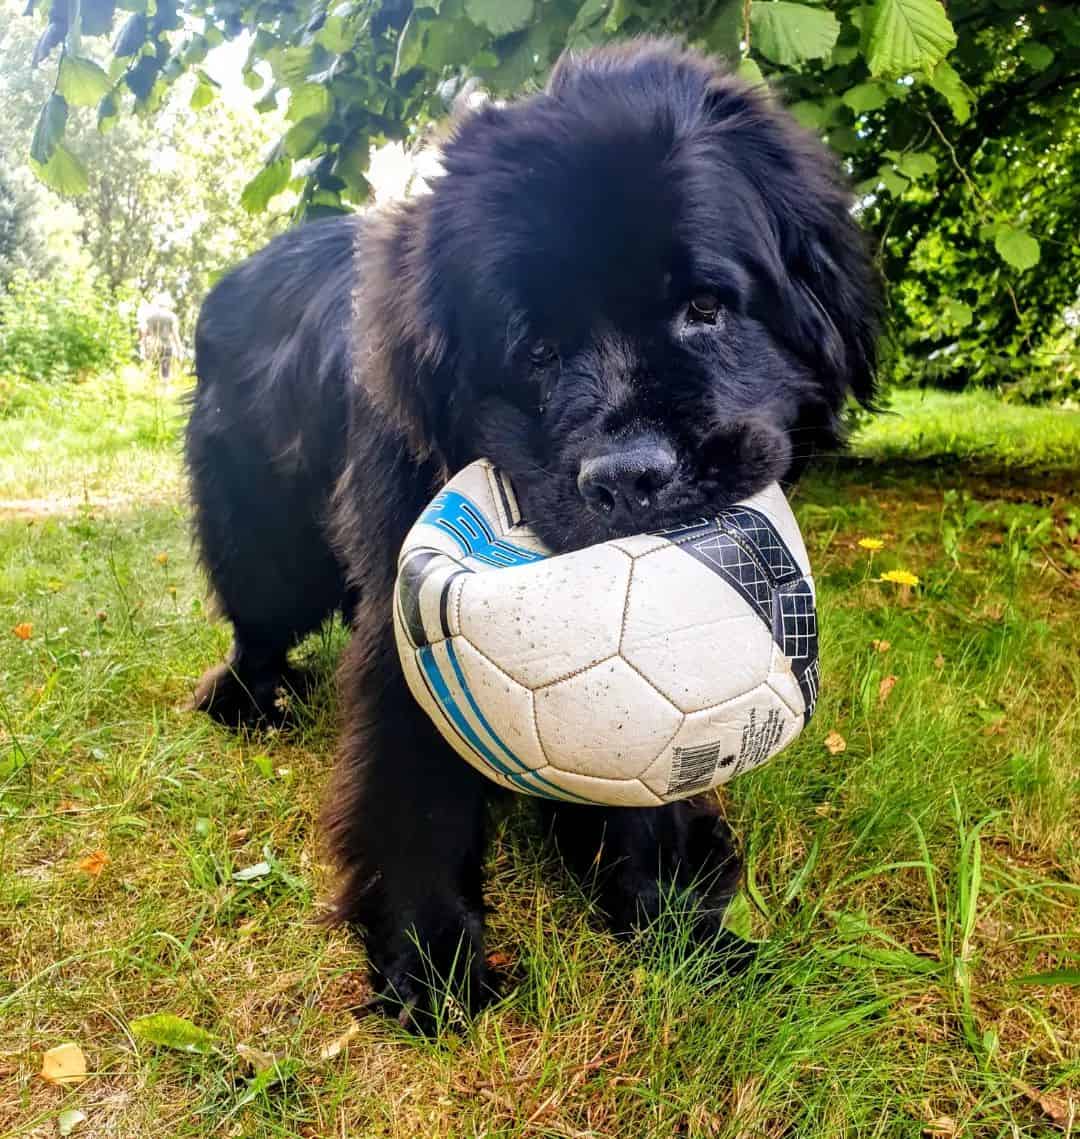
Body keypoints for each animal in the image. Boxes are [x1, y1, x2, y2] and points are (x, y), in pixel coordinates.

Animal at [185, 40, 879, 1029]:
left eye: (705, 307)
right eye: (536, 351)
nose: (630, 476)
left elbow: (641, 794)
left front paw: (675, 922)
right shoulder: (404, 617)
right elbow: (415, 786)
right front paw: (428, 956)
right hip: (262, 535)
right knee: (258, 617)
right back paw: (250, 698)